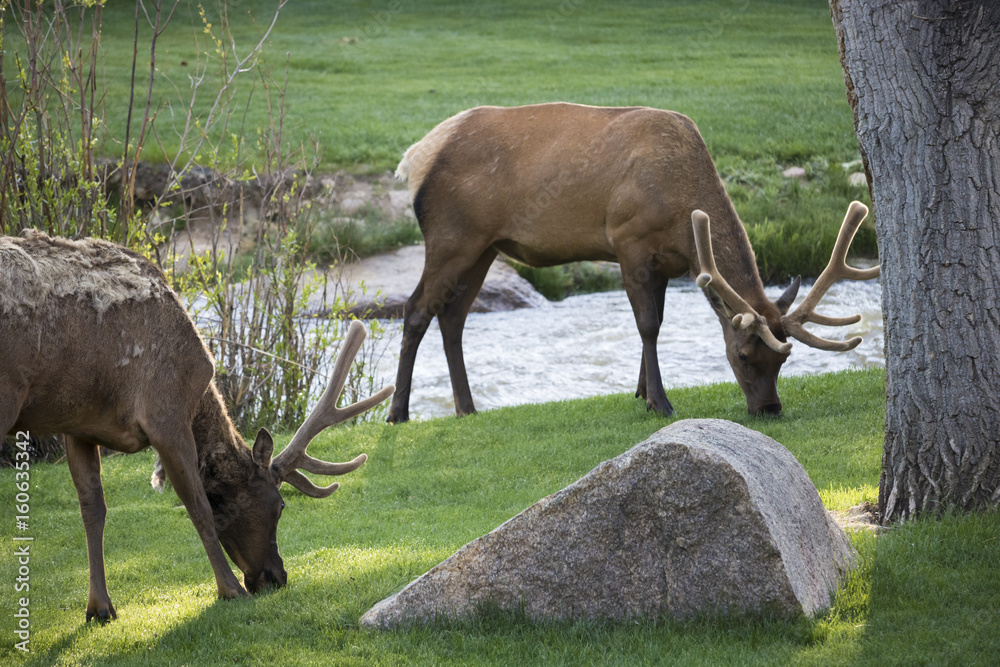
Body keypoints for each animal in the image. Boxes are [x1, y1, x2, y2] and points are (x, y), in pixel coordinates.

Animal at [0, 230, 394, 622]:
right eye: (281, 505)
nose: (276, 577)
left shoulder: (79, 423)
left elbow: (93, 509)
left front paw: (100, 607)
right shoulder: (166, 412)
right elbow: (199, 507)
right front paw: (230, 589)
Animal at [386, 102, 878, 423]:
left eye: (782, 362)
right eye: (742, 355)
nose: (770, 408)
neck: (682, 215)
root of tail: (415, 158)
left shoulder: (667, 262)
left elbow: (656, 322)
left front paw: (640, 391)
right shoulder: (629, 241)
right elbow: (647, 324)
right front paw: (659, 402)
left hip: (485, 246)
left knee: (453, 315)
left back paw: (467, 408)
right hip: (451, 236)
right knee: (416, 309)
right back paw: (398, 413)